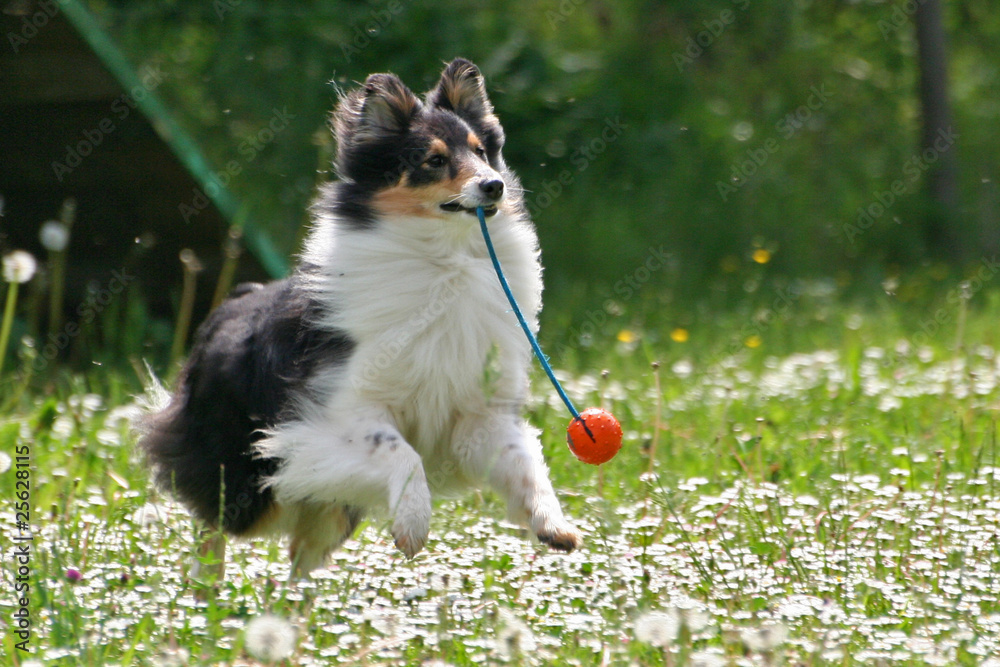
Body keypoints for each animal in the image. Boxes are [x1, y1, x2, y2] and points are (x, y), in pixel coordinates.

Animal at [137, 60, 584, 576]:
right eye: (433, 160)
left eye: (481, 152)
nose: (495, 185)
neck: (445, 263)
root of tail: (232, 302)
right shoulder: (337, 414)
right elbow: (401, 452)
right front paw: (414, 525)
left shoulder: (478, 416)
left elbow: (524, 462)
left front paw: (554, 524)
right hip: (249, 479)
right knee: (213, 525)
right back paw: (205, 585)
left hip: (326, 508)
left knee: (298, 561)